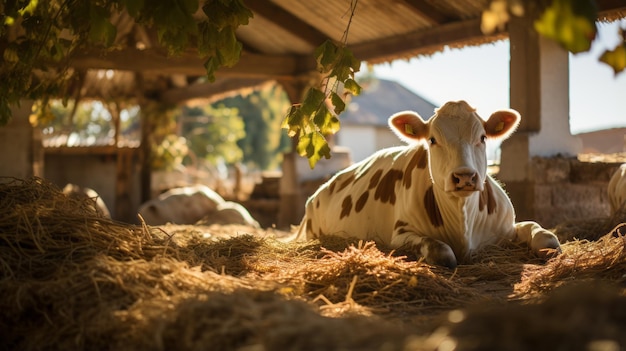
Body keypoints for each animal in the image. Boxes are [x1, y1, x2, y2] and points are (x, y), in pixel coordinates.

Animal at [294, 102, 560, 270]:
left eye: (482, 137)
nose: (464, 177)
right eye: (432, 140)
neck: (462, 222)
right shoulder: (401, 235)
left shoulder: (506, 227)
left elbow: (547, 239)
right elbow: (441, 252)